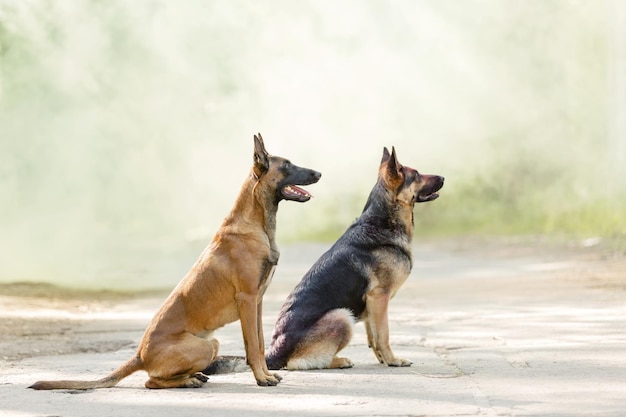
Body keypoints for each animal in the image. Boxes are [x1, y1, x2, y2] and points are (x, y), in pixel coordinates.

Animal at [28, 134, 320, 390]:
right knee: (151, 381)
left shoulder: (256, 302)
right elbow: (252, 347)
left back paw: (194, 377)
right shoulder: (247, 300)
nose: (318, 173)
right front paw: (261, 378)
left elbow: (258, 343)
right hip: (205, 346)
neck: (254, 223)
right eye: (287, 166)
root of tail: (139, 355)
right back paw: (188, 380)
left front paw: (266, 374)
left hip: (213, 343)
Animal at [264, 145, 444, 368]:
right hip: (342, 316)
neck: (381, 220)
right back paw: (339, 360)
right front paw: (393, 360)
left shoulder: (371, 304)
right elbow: (383, 335)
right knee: (300, 362)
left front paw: (383, 360)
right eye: (417, 174)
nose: (443, 177)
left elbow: (373, 336)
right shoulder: (379, 297)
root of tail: (272, 353)